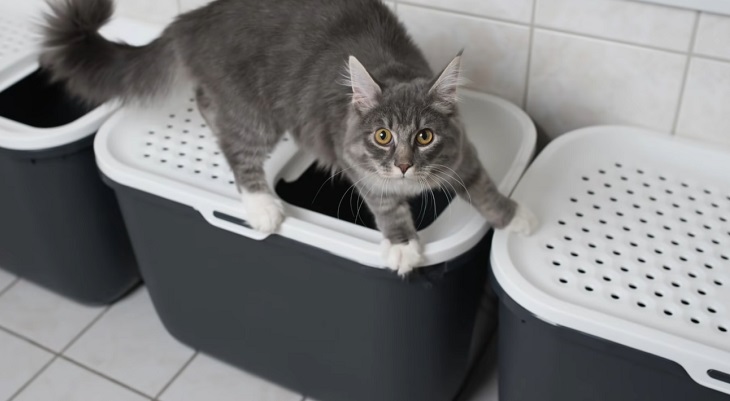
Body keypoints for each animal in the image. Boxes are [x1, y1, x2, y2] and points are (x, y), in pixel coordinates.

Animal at [41, 0, 536, 274]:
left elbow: (485, 189)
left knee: (207, 105)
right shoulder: (358, 167)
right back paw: (262, 208)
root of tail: (193, 18)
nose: (402, 164)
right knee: (235, 149)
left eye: (425, 136)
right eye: (382, 136)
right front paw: (402, 247)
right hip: (258, 116)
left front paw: (516, 218)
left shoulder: (463, 154)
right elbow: (387, 207)